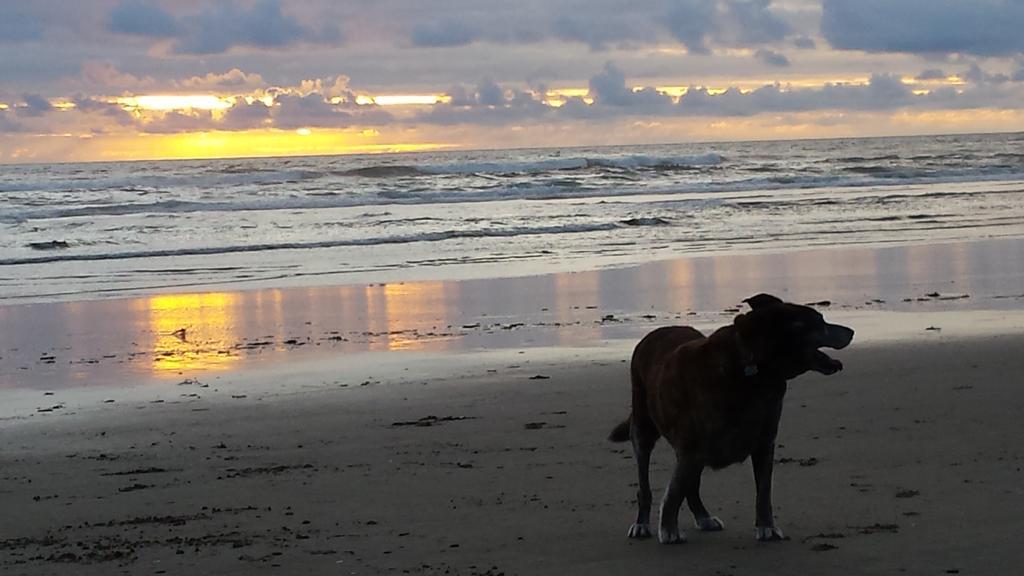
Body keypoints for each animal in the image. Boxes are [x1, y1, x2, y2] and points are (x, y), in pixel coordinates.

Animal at [606, 293, 856, 541]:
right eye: (820, 322)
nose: (852, 331)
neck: (755, 368)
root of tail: (653, 334)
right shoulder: (692, 447)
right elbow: (675, 491)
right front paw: (669, 529)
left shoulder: (764, 441)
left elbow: (763, 491)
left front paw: (767, 526)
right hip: (644, 425)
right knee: (646, 481)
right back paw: (642, 523)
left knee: (691, 485)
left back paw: (703, 516)